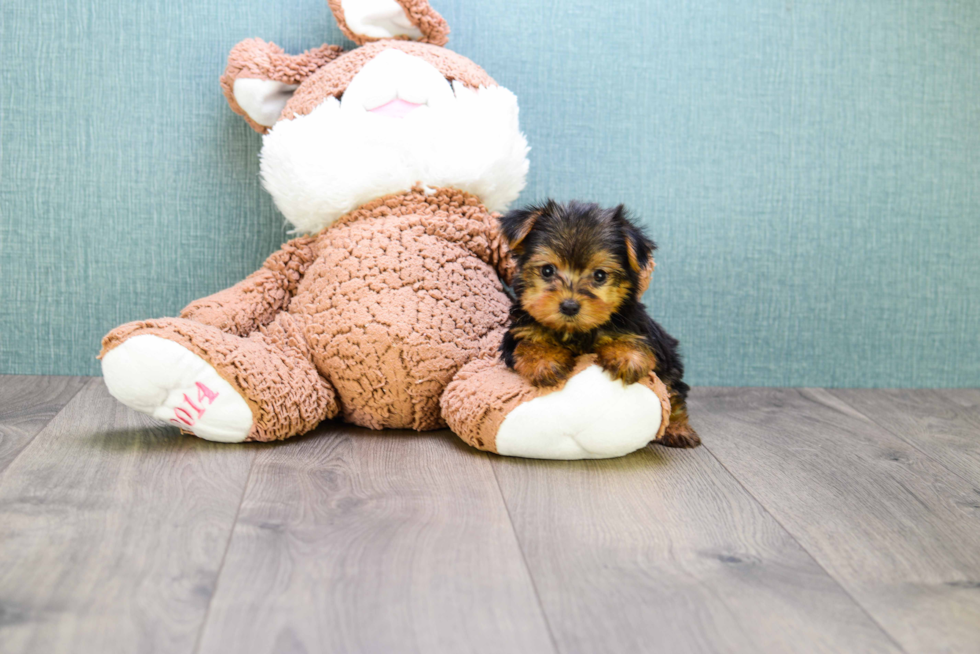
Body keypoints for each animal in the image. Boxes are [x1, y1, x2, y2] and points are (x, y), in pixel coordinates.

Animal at [502, 200, 700, 452]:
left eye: (599, 275)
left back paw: (678, 429)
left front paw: (627, 357)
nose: (569, 306)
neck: (576, 332)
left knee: (673, 391)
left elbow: (631, 340)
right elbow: (529, 343)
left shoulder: (636, 327)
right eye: (547, 270)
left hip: (670, 360)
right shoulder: (519, 331)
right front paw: (544, 362)